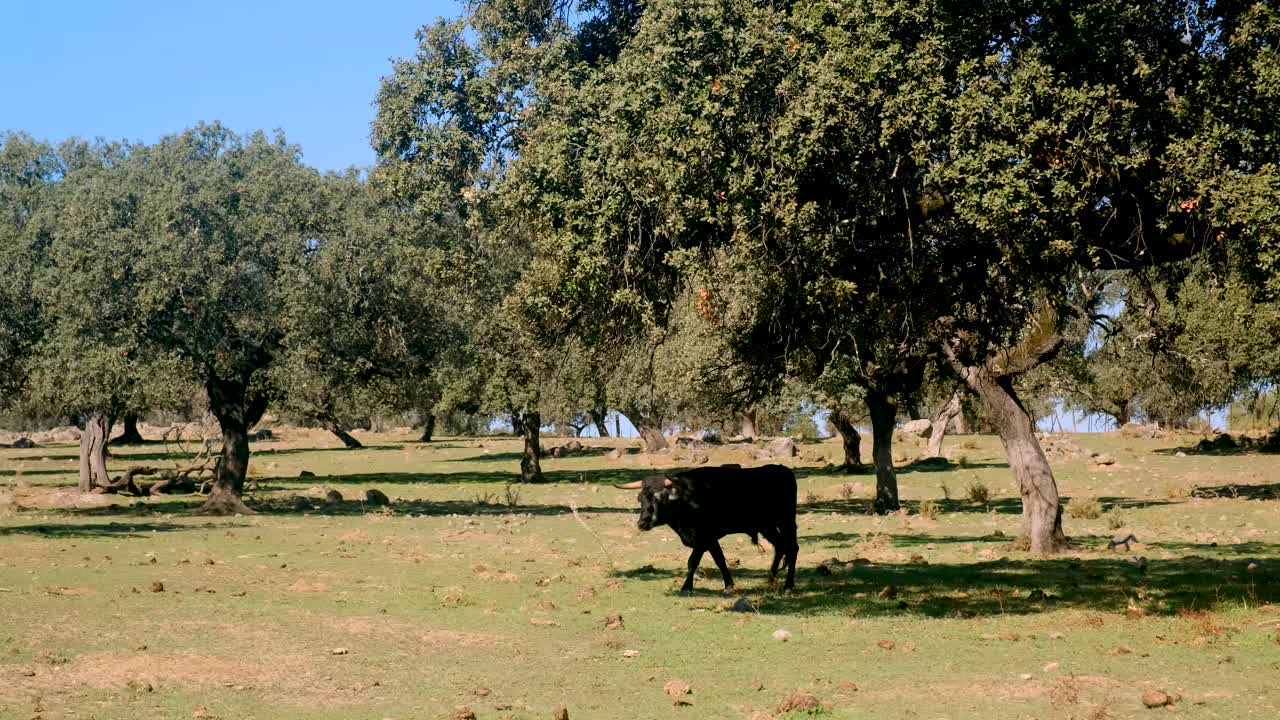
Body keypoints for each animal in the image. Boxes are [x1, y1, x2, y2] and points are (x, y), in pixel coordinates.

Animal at [614, 461, 793, 591]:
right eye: (640, 498)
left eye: (659, 497)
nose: (642, 523)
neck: (688, 498)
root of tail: (782, 469)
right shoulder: (705, 540)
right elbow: (709, 560)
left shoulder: (706, 537)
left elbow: (700, 560)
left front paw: (689, 587)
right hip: (767, 526)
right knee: (780, 546)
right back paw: (771, 579)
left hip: (786, 521)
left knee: (792, 548)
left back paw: (788, 586)